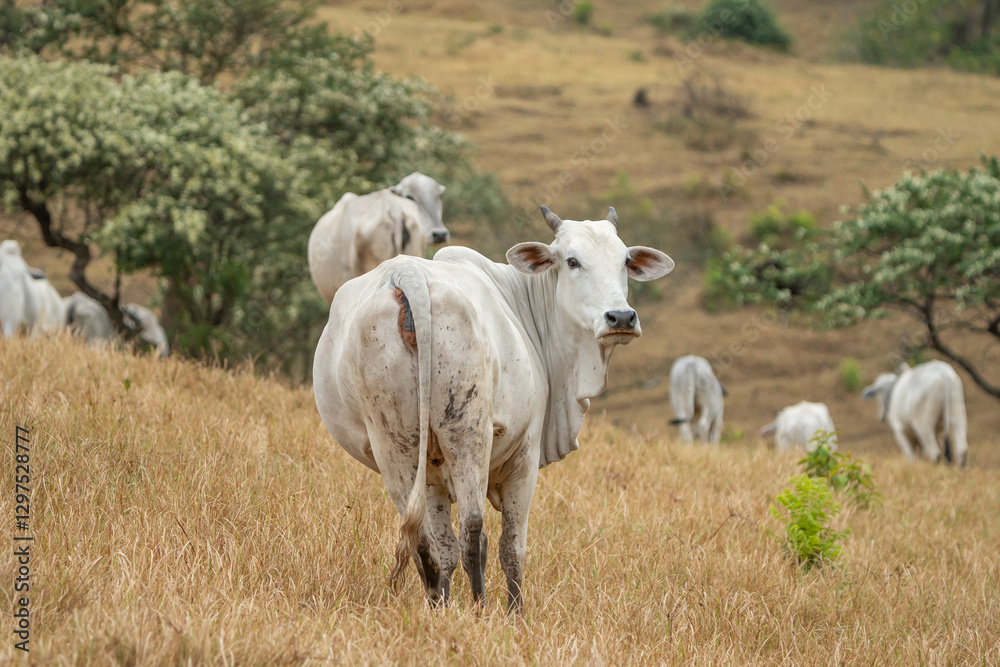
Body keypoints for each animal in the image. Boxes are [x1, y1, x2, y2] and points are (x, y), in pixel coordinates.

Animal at [313, 206, 674, 612]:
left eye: (624, 261)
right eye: (572, 261)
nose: (621, 318)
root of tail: (408, 274)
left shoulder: (434, 475)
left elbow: (445, 549)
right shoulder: (525, 454)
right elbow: (511, 548)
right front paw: (516, 614)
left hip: (396, 443)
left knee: (423, 539)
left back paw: (439, 605)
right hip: (465, 428)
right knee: (473, 529)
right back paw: (480, 609)